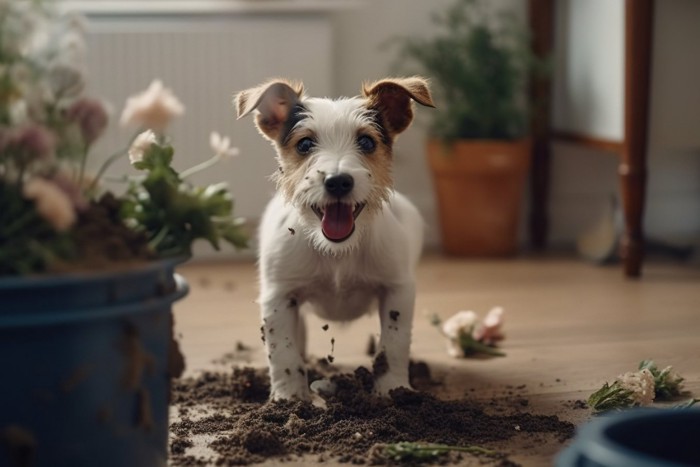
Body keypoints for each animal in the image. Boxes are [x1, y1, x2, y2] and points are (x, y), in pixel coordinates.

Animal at [237, 77, 432, 402]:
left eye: (367, 142)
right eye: (304, 144)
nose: (338, 181)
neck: (338, 252)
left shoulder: (398, 290)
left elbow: (393, 345)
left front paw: (394, 390)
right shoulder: (278, 296)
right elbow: (283, 352)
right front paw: (289, 399)